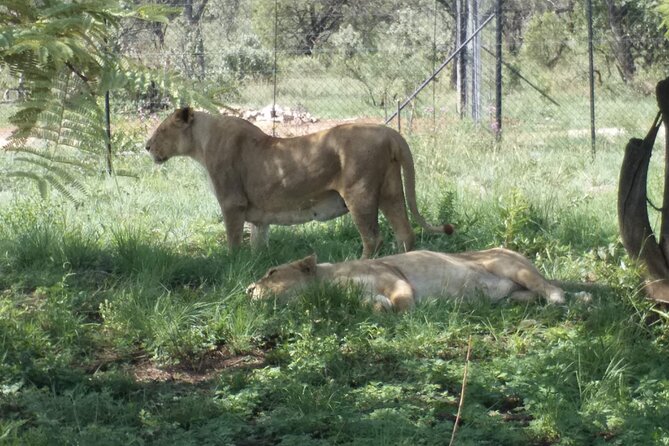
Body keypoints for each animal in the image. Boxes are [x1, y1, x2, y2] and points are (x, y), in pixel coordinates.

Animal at [145, 107, 453, 258]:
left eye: (161, 130)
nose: (146, 146)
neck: (201, 143)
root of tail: (390, 132)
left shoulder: (232, 204)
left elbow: (233, 242)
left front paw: (230, 266)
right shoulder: (259, 217)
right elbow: (257, 244)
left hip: (360, 194)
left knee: (373, 238)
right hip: (390, 192)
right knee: (405, 233)